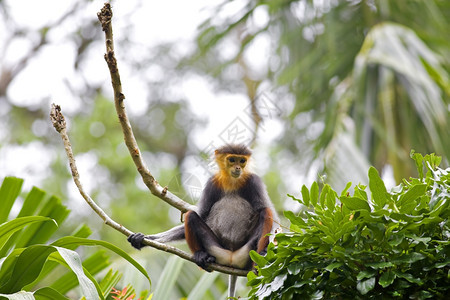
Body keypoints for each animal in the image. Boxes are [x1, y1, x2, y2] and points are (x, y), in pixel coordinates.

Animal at [126, 143, 280, 272]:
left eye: (242, 161)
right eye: (232, 159)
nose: (238, 168)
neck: (232, 182)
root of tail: (231, 258)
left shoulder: (254, 181)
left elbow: (272, 217)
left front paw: (267, 251)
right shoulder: (212, 183)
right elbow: (202, 214)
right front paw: (145, 238)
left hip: (247, 251)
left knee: (266, 211)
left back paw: (259, 261)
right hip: (217, 249)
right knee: (191, 215)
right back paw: (202, 256)